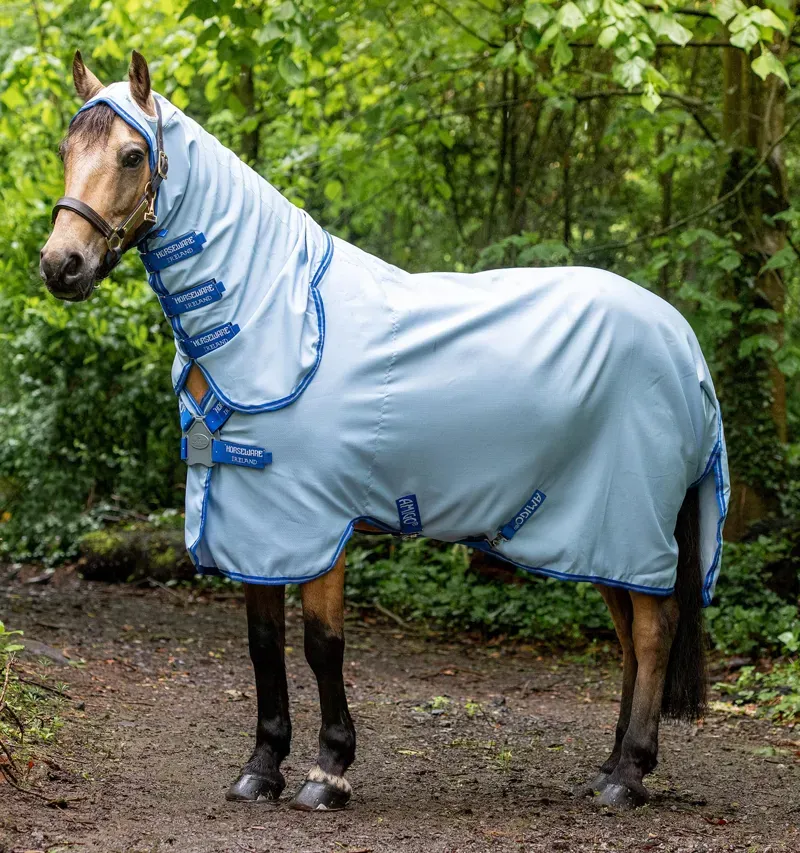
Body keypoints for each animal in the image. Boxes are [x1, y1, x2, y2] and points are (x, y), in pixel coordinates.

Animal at [40, 51, 729, 812]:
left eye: (133, 155)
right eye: (66, 152)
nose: (61, 264)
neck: (277, 319)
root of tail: (683, 341)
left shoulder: (314, 522)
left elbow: (322, 645)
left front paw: (328, 772)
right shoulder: (254, 522)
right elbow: (261, 642)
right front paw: (261, 768)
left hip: (630, 524)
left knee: (654, 630)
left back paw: (628, 776)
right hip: (600, 537)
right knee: (631, 638)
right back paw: (611, 766)